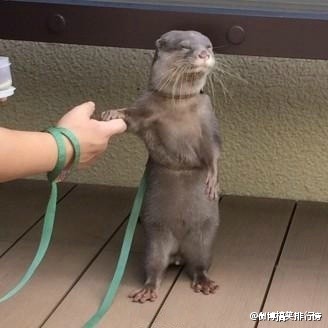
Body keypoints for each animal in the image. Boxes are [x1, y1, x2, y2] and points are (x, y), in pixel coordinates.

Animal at [102, 30, 220, 302]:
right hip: (156, 239)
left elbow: (213, 149)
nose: (204, 54)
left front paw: (212, 179)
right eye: (185, 46)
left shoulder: (207, 117)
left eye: (209, 46)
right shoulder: (145, 106)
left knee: (200, 265)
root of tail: (179, 252)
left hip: (203, 238)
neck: (178, 104)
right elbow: (131, 116)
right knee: (154, 266)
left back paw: (204, 282)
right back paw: (147, 289)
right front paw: (113, 113)